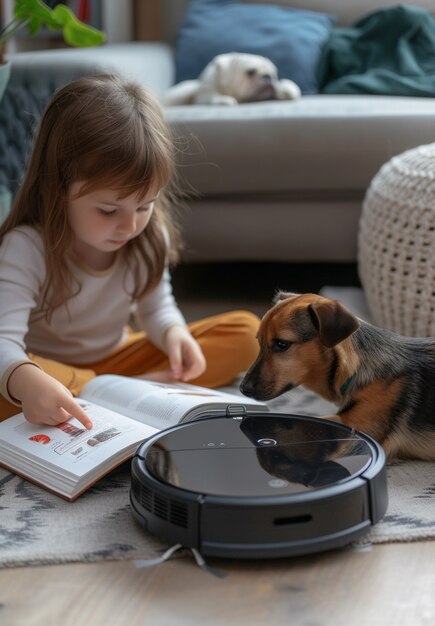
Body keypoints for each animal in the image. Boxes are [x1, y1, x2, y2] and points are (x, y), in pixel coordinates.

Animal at [162, 52, 302, 105]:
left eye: (274, 74)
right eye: (250, 72)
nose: (268, 76)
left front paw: (287, 90)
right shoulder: (206, 93)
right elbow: (213, 96)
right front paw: (224, 100)